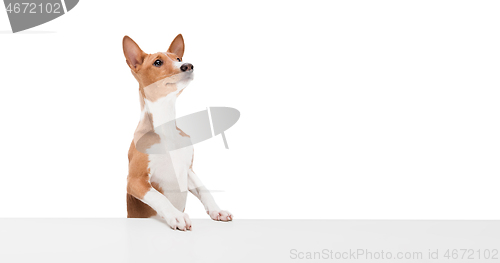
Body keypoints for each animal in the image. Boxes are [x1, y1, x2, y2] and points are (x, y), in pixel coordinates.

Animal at [125, 34, 234, 231]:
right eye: (158, 62)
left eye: (178, 58)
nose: (188, 65)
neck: (166, 128)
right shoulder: (135, 180)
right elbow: (159, 197)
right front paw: (176, 216)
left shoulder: (187, 170)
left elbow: (204, 190)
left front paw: (217, 210)